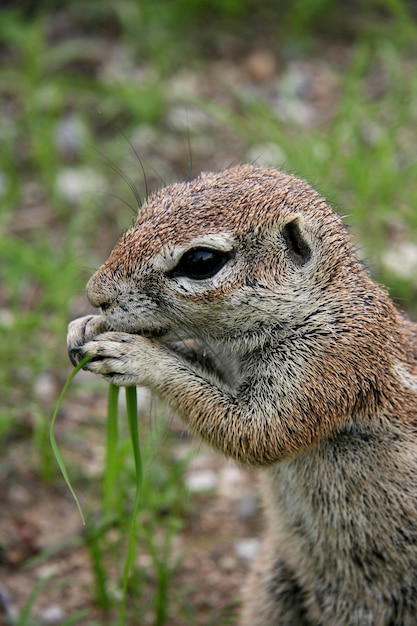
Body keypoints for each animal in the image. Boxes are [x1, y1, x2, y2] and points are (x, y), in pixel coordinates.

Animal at [67, 165, 416, 624]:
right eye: (151, 204)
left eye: (201, 262)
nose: (96, 293)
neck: (317, 305)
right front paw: (86, 325)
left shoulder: (326, 363)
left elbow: (256, 433)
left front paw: (136, 355)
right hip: (273, 584)